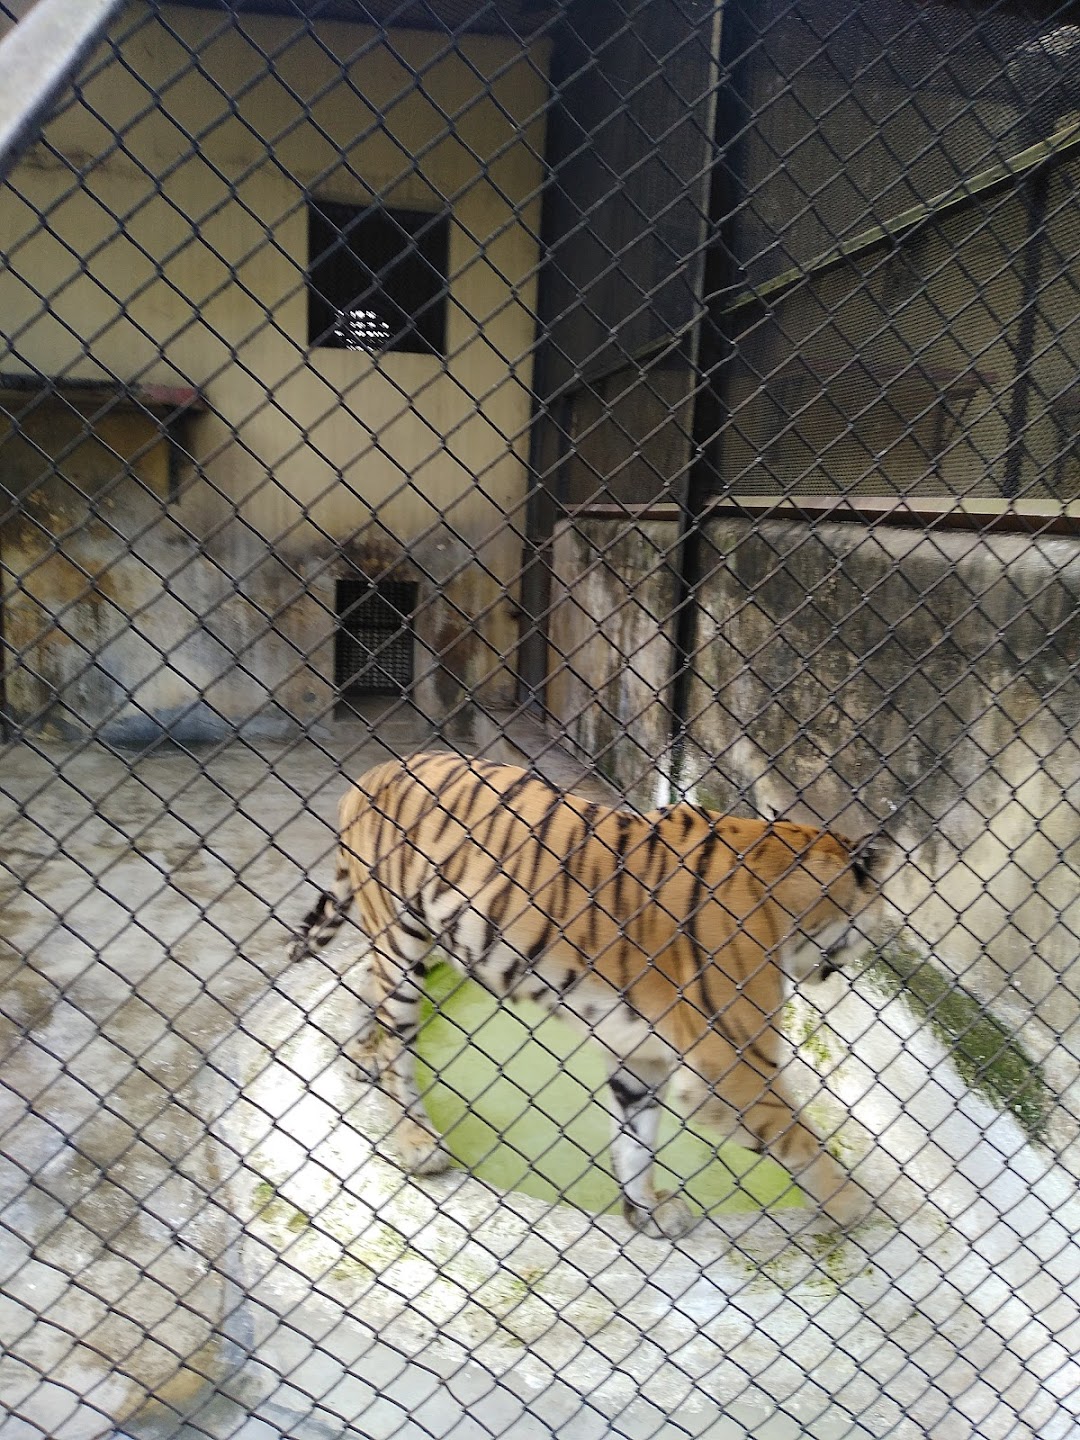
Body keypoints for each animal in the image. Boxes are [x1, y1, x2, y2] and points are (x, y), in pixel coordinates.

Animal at [288, 754, 887, 1238]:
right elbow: (799, 1137)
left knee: (366, 989)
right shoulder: (732, 1064)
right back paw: (417, 1142)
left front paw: (647, 1212)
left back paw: (359, 1055)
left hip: (412, 940)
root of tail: (370, 774)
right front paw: (852, 1205)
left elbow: (637, 1138)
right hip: (403, 939)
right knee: (398, 1045)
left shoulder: (641, 1054)